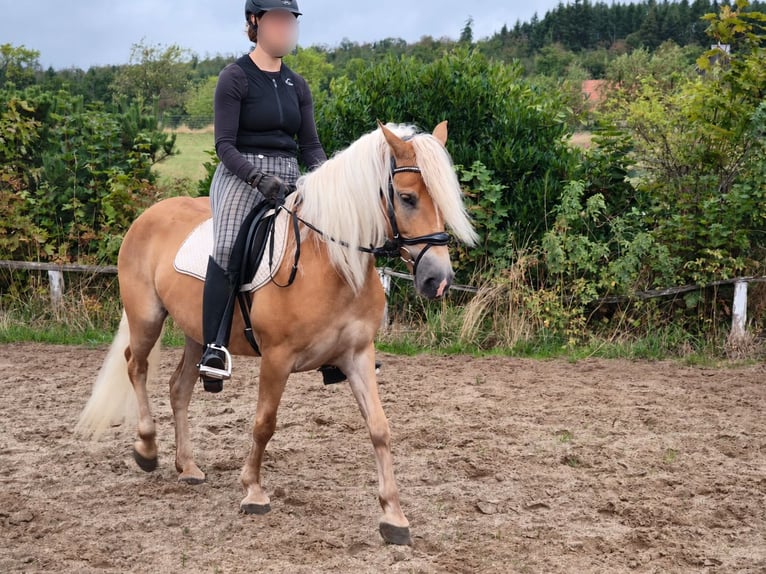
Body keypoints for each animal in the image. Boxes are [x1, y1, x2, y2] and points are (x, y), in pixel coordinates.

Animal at [76, 121, 478, 545]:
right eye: (406, 198)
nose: (438, 280)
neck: (330, 262)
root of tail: (149, 215)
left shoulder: (358, 355)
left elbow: (379, 428)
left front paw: (394, 517)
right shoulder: (277, 358)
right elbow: (264, 423)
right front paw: (253, 491)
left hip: (196, 332)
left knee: (178, 388)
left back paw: (188, 467)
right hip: (147, 318)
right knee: (136, 367)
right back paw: (147, 448)